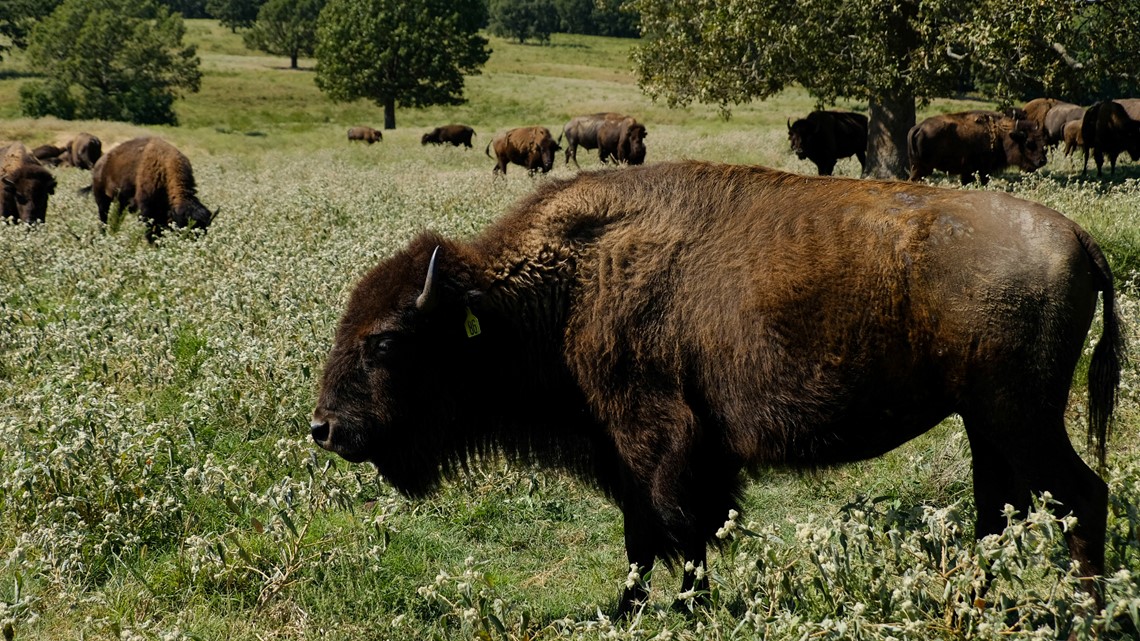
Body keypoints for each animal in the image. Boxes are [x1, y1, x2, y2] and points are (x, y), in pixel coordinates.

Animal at [88, 137, 216, 242]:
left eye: (205, 230)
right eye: (183, 226)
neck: (165, 167)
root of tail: (100, 162)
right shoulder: (146, 210)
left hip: (121, 203)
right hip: (102, 199)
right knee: (103, 217)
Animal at [310, 161, 1122, 616]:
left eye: (386, 341)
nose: (325, 429)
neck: (563, 287)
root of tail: (1078, 236)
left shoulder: (655, 441)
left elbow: (670, 529)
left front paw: (674, 607)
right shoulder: (655, 454)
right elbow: (657, 534)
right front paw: (640, 606)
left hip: (1022, 419)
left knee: (1083, 494)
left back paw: (1085, 613)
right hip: (988, 425)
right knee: (1000, 512)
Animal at [907, 110, 1047, 185]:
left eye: (1042, 141)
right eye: (1028, 142)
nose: (1042, 161)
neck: (1002, 135)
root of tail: (918, 127)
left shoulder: (967, 173)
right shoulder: (982, 171)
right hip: (923, 168)